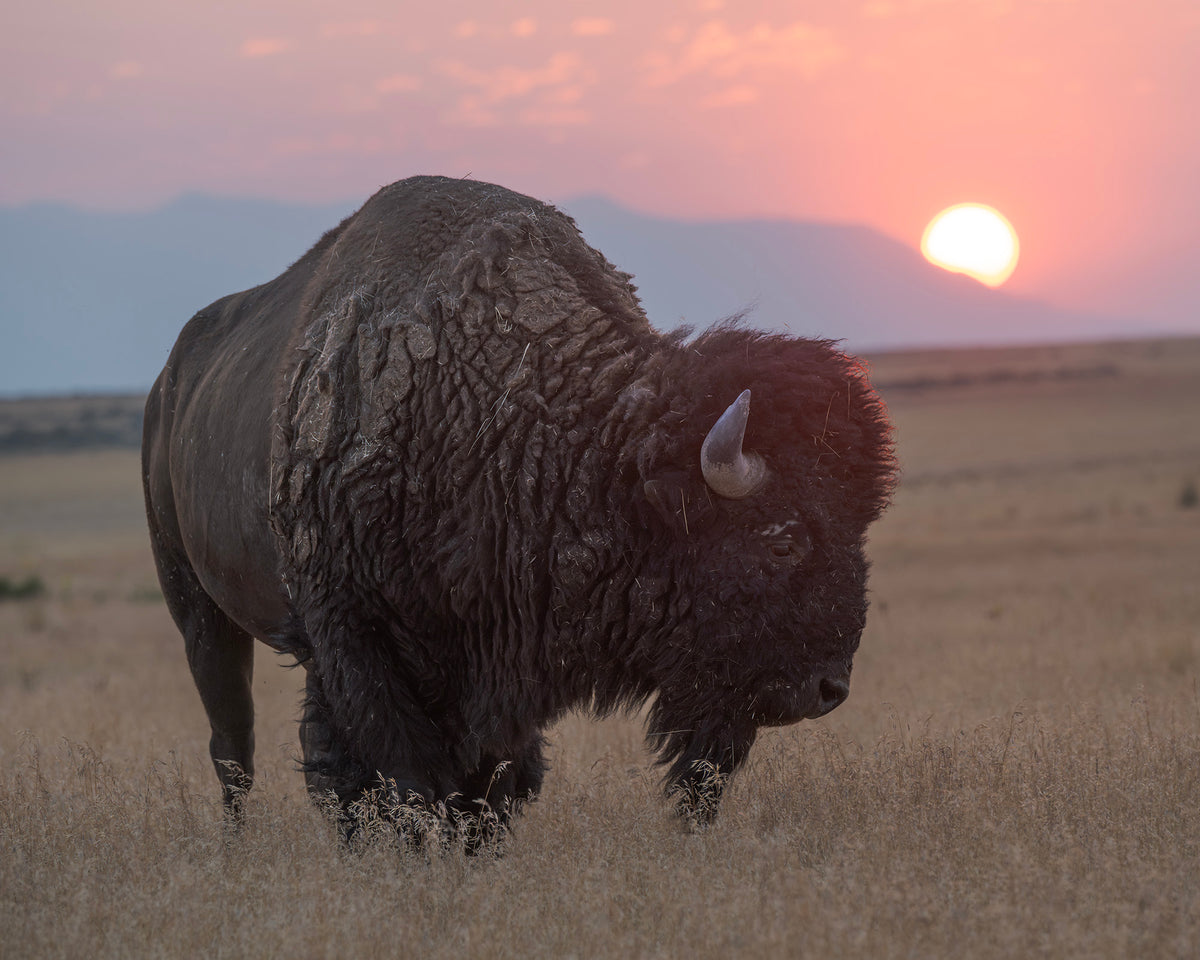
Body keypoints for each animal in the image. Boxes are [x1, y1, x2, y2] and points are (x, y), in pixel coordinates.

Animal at [142, 175, 896, 844]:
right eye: (784, 541)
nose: (830, 688)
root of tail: (167, 384)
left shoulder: (499, 667)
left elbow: (489, 786)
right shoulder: (358, 642)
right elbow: (400, 777)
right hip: (199, 614)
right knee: (234, 746)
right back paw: (237, 846)